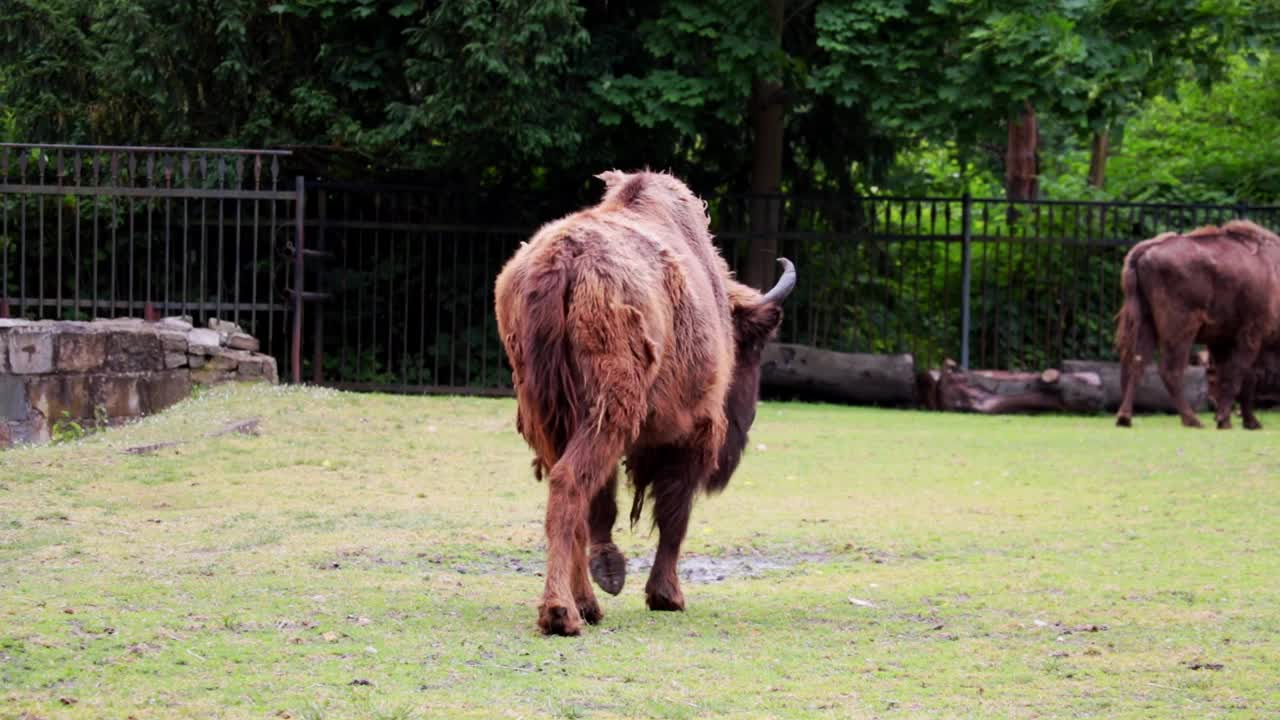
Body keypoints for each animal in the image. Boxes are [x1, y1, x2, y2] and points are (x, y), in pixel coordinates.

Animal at [494, 167, 793, 632]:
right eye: (754, 347)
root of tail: (562, 259)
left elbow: (607, 507)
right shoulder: (696, 432)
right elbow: (674, 515)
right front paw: (667, 595)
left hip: (547, 414)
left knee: (576, 498)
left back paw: (587, 602)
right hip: (609, 412)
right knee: (569, 484)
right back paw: (561, 613)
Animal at [1111, 217, 1280, 425]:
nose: (1212, 405)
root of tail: (1144, 250)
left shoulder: (1224, 341)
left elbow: (1235, 376)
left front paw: (1238, 421)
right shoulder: (1251, 335)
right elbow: (1239, 375)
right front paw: (1230, 420)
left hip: (1145, 324)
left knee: (1136, 363)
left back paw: (1124, 418)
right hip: (1182, 330)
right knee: (1170, 370)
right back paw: (1192, 420)